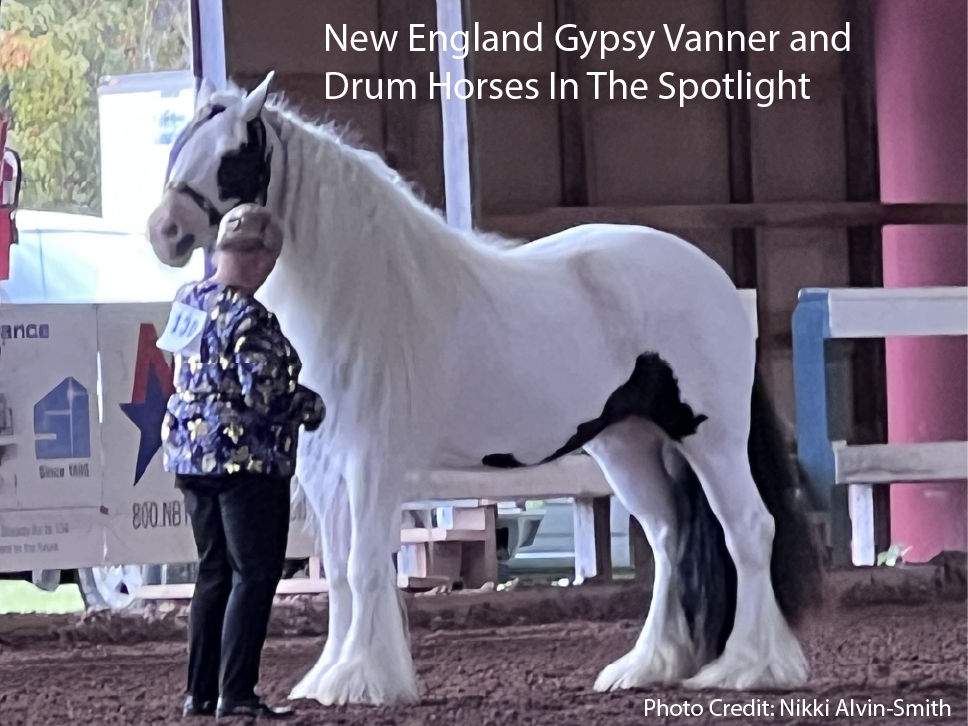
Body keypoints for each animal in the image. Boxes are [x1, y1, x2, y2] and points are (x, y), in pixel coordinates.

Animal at [146, 72, 823, 707]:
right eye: (179, 147)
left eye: (232, 155)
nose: (164, 232)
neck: (356, 295)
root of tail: (718, 281)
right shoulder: (322, 466)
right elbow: (338, 572)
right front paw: (330, 676)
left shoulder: (371, 461)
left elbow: (364, 567)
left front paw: (361, 680)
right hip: (627, 445)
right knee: (669, 537)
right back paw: (648, 667)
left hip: (712, 438)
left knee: (749, 530)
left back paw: (751, 668)